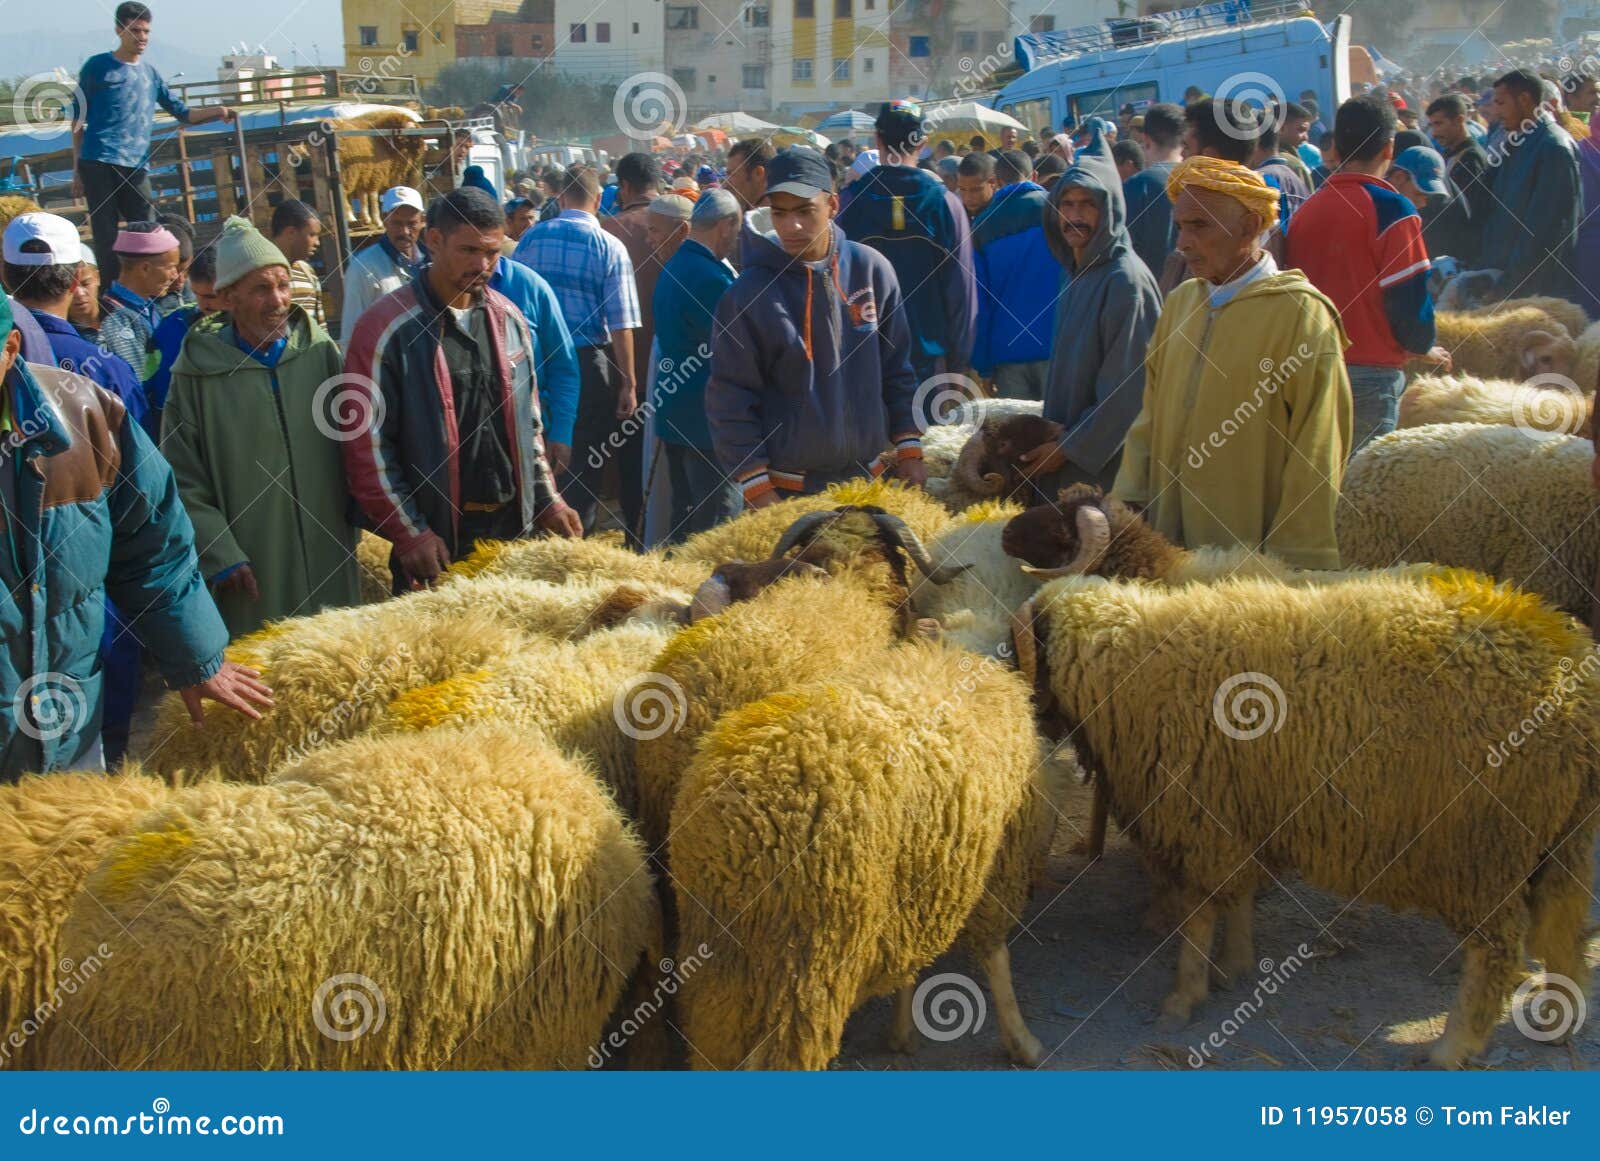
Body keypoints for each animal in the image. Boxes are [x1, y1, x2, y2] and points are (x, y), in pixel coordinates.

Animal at [668, 646, 1068, 1074]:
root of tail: (741, 818)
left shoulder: (916, 878)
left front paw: (902, 1032)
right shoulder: (996, 865)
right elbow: (997, 958)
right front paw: (1022, 1042)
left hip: (722, 960)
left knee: (714, 1040)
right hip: (808, 962)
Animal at [1011, 569, 1600, 1068]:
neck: (1125, 663)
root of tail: (1567, 661)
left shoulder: (1204, 817)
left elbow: (1200, 912)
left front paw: (1184, 996)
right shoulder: (1242, 811)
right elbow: (1238, 897)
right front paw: (1235, 965)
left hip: (1485, 848)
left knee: (1498, 948)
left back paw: (1453, 1047)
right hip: (1561, 840)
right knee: (1564, 929)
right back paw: (1559, 1020)